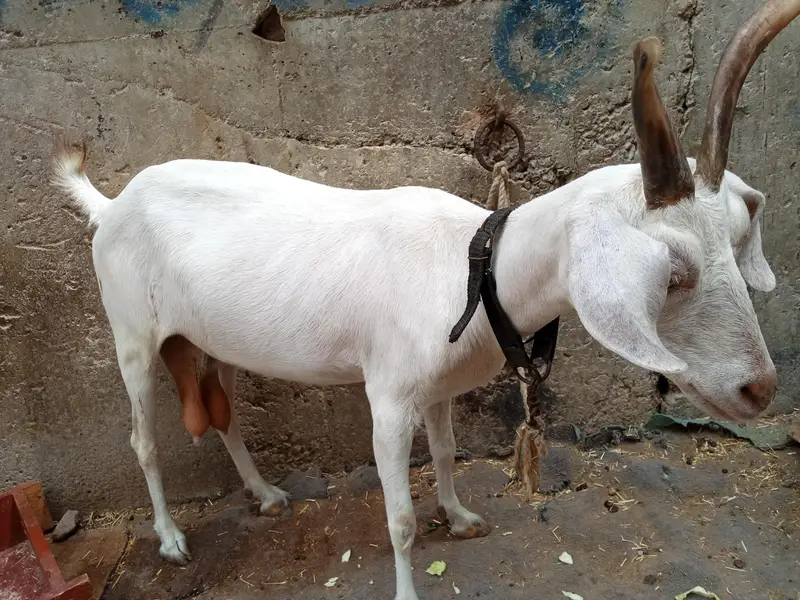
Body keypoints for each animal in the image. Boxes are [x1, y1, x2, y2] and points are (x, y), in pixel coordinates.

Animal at [52, 2, 797, 598]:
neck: (471, 269)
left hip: (212, 339)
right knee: (144, 440)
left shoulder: (438, 388)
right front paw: (410, 585)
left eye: (736, 239)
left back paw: (264, 495)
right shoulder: (387, 397)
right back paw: (171, 538)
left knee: (225, 415)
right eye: (673, 272)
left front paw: (461, 517)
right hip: (131, 334)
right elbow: (400, 518)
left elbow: (444, 454)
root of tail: (111, 205)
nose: (760, 389)